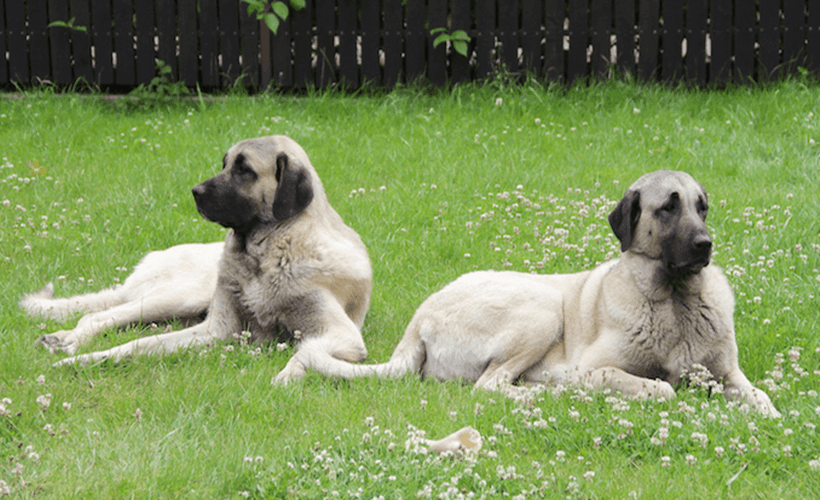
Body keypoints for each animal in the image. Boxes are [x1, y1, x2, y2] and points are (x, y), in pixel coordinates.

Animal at [46, 133, 374, 382]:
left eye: (244, 169)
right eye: (225, 163)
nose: (195, 191)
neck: (265, 253)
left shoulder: (342, 334)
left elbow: (307, 352)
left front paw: (288, 376)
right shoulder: (218, 329)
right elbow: (139, 343)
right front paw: (89, 359)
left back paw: (61, 337)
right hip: (182, 296)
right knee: (99, 315)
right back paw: (71, 342)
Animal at [296, 170, 780, 416]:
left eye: (702, 208)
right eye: (668, 208)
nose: (705, 245)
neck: (676, 300)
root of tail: (418, 322)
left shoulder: (728, 373)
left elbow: (760, 397)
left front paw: (770, 418)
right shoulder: (595, 369)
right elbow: (662, 389)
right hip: (541, 308)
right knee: (489, 386)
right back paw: (544, 393)